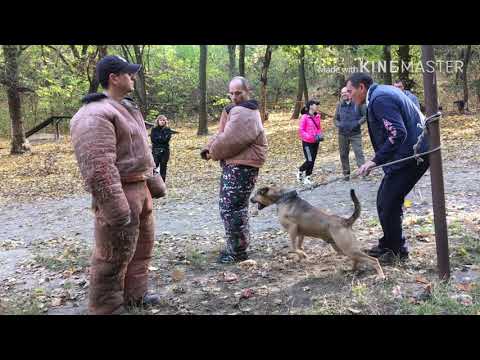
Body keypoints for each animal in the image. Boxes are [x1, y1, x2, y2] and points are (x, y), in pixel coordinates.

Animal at [249, 187, 384, 280]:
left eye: (256, 193)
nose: (250, 199)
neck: (281, 197)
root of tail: (345, 221)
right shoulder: (300, 232)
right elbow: (299, 246)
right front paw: (301, 256)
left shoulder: (292, 228)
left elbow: (293, 247)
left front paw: (302, 254)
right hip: (343, 248)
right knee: (357, 259)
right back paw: (352, 270)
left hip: (347, 248)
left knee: (373, 260)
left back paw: (380, 275)